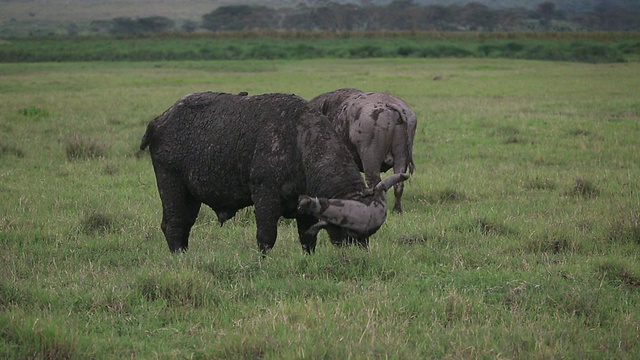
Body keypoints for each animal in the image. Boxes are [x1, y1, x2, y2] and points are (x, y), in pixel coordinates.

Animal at [142, 91, 408, 255]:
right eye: (350, 234)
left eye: (368, 236)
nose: (359, 255)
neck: (299, 142)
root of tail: (159, 120)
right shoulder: (265, 197)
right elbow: (266, 237)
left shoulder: (306, 207)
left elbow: (308, 239)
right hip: (170, 184)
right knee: (173, 224)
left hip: (191, 195)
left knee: (184, 223)